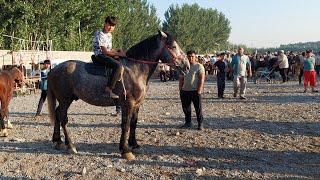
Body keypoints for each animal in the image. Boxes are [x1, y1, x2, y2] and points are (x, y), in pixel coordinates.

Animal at [47, 30, 190, 160]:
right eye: (173, 46)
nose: (187, 66)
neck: (135, 69)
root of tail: (54, 69)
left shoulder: (137, 104)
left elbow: (133, 123)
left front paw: (134, 145)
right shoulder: (128, 103)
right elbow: (125, 125)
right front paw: (125, 150)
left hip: (66, 100)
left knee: (57, 114)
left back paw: (58, 141)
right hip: (65, 100)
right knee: (63, 118)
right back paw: (70, 146)